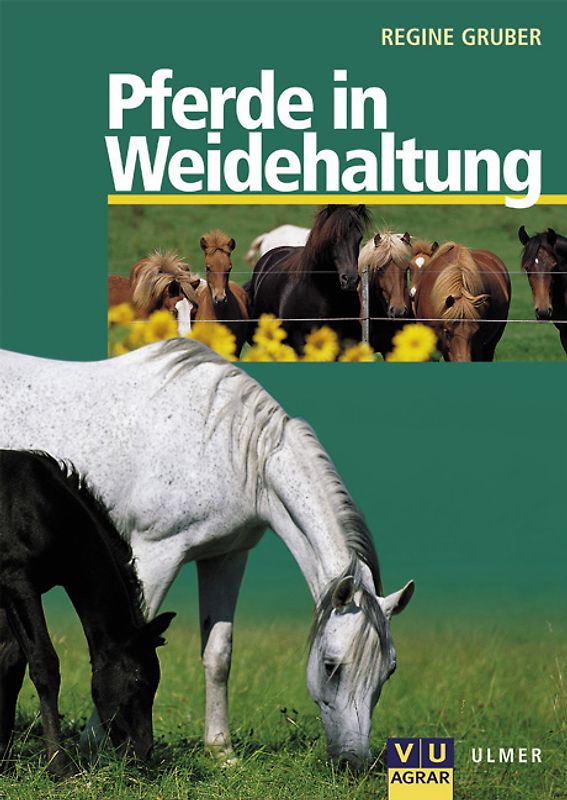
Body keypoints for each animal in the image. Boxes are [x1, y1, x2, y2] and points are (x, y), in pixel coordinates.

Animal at [0, 450, 175, 777]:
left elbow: (10, 662)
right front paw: (59, 766)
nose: (143, 752)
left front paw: (3, 758)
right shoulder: (17, 580)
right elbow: (43, 663)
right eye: (140, 682)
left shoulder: (8, 591)